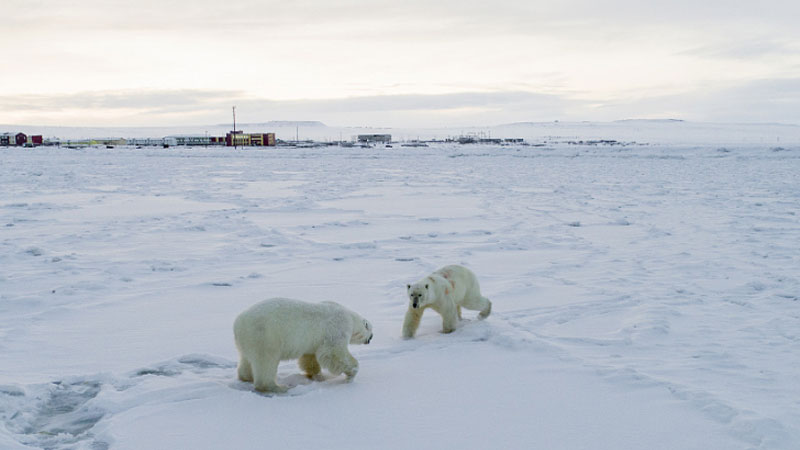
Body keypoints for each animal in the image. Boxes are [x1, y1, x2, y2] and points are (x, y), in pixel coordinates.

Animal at [233, 298, 374, 394]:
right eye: (371, 332)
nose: (371, 338)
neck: (351, 317)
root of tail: (238, 323)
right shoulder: (337, 328)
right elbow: (333, 353)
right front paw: (352, 373)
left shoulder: (314, 342)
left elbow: (310, 356)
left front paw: (318, 376)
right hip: (265, 336)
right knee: (266, 361)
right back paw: (278, 387)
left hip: (248, 341)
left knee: (247, 360)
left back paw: (246, 377)